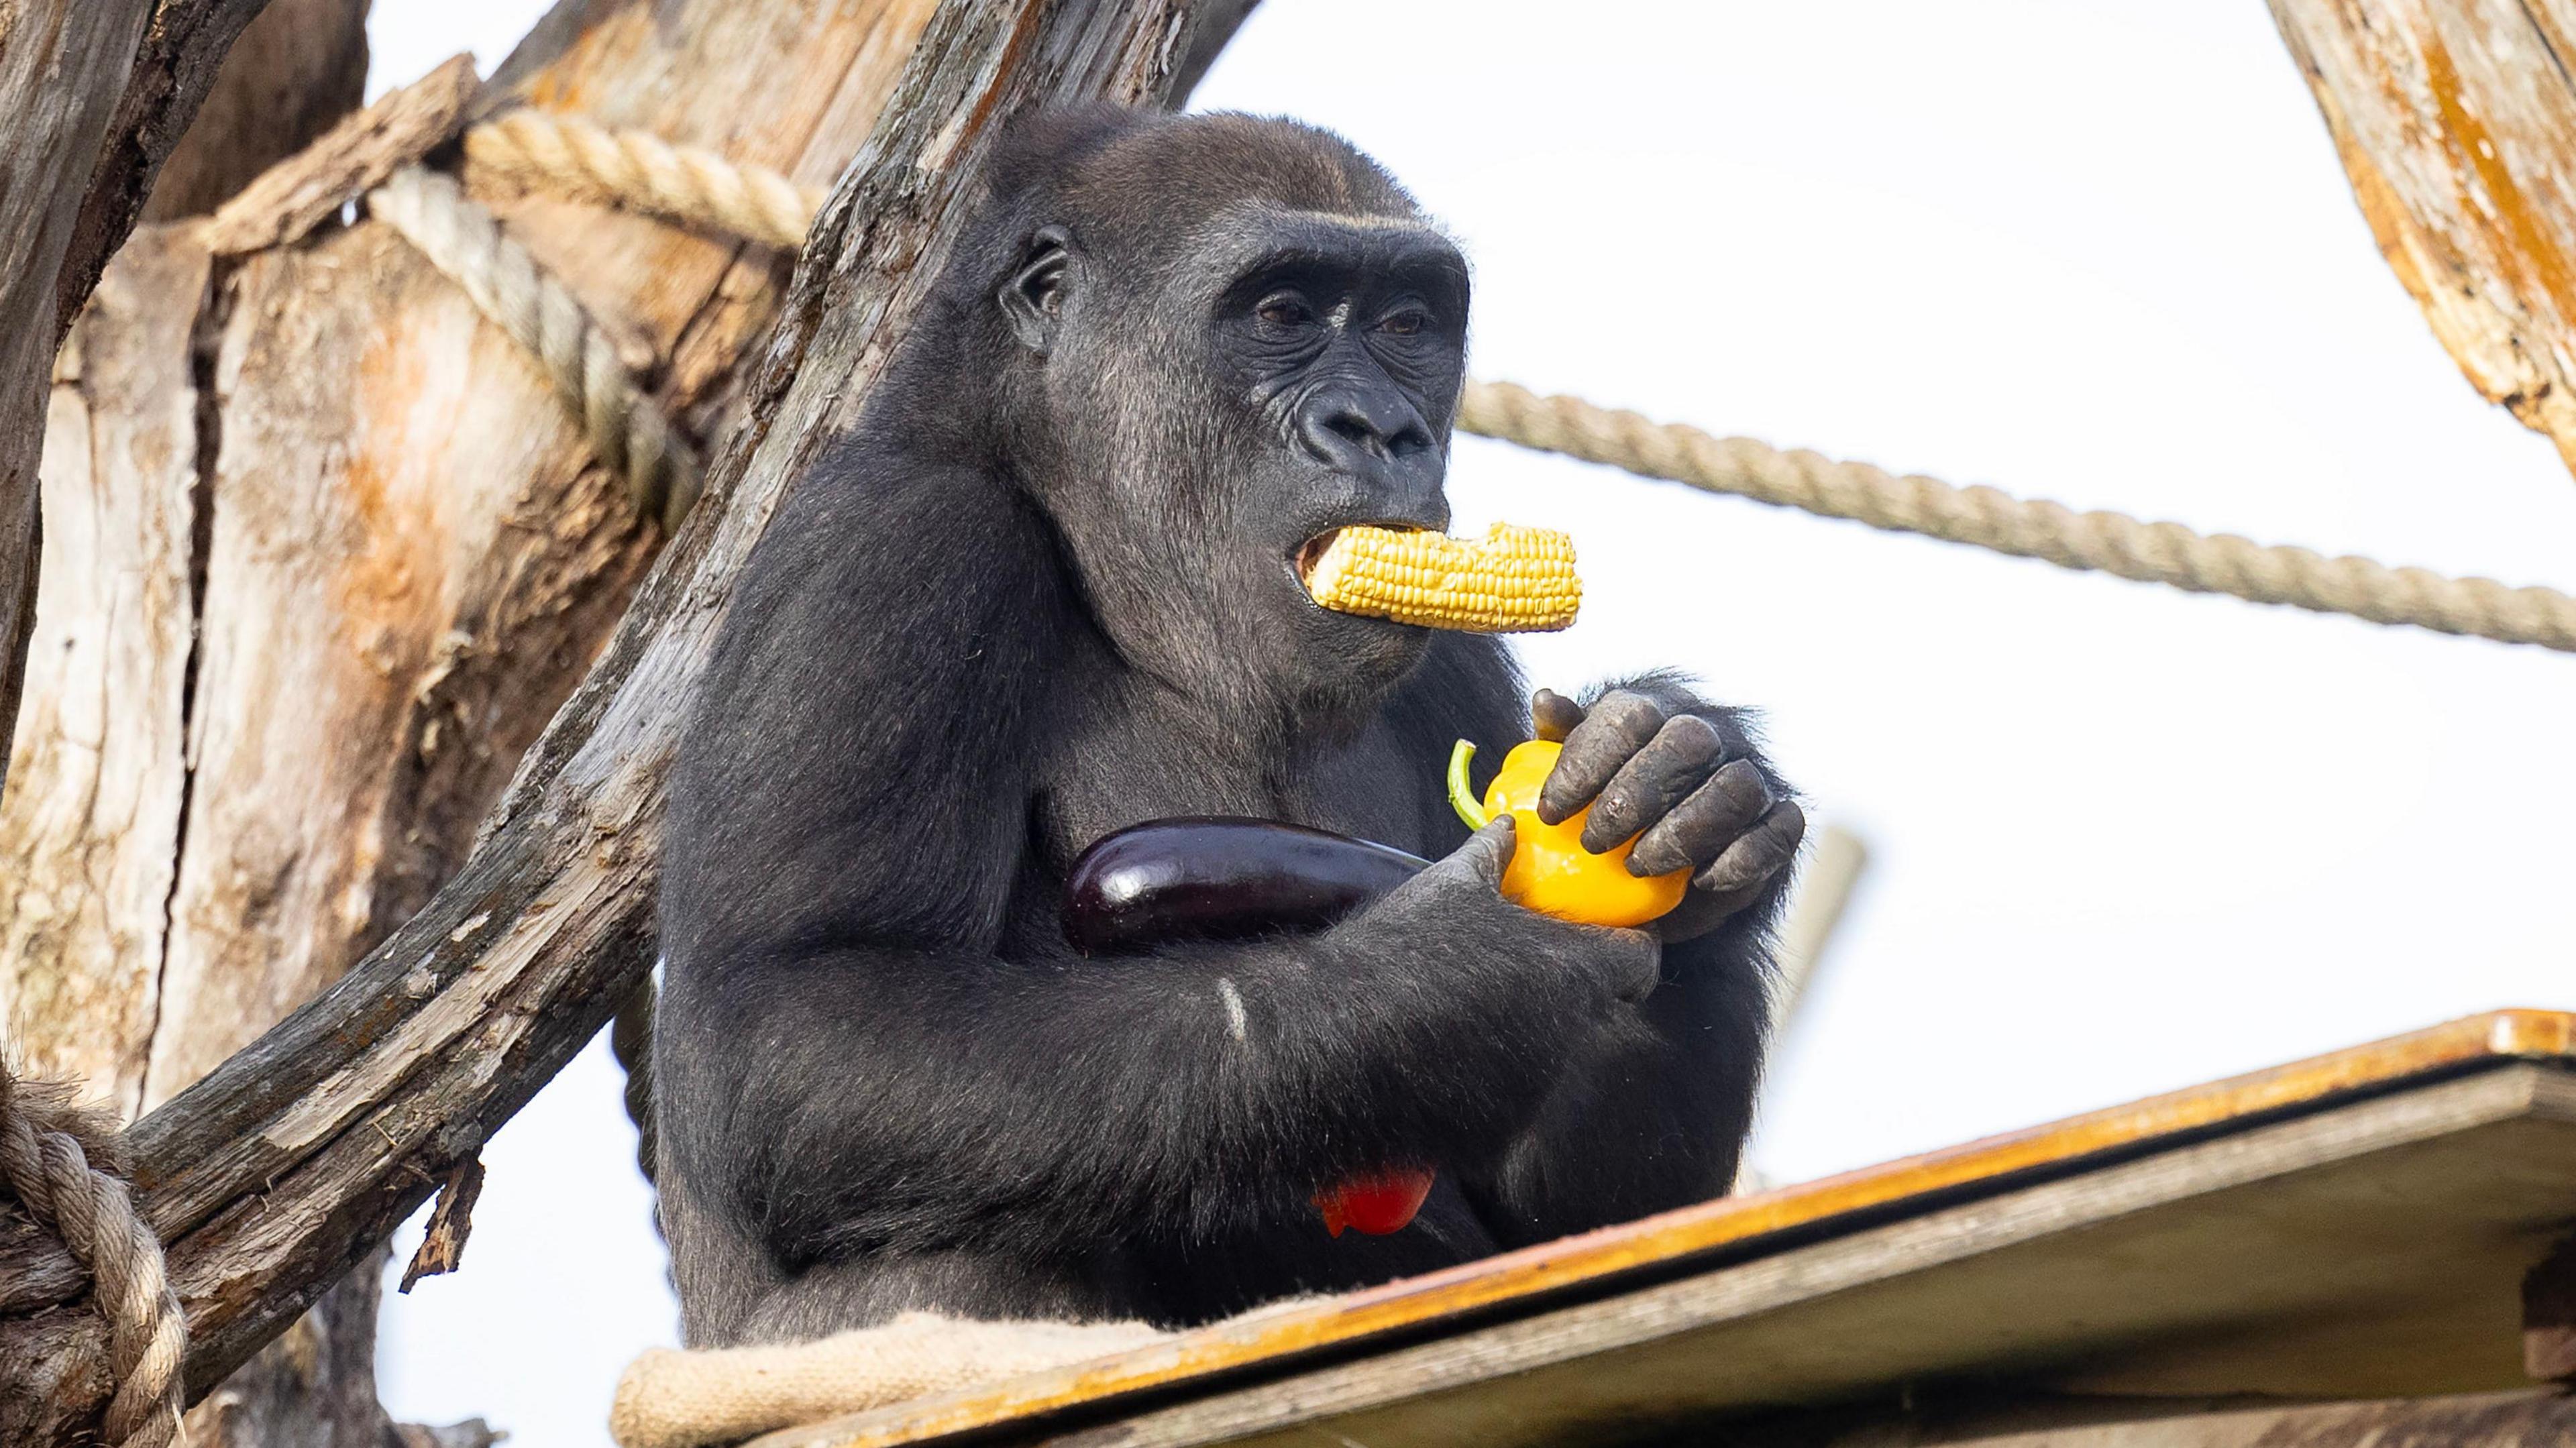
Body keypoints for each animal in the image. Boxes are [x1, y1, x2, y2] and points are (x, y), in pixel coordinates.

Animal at [654, 104, 1803, 1339]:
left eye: (1407, 325)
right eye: (1281, 314)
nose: (1381, 427)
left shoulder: (1458, 664)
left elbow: (1588, 1217)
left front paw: (1690, 790)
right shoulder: (890, 547)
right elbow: (804, 1019)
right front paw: (1435, 992)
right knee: (942, 1273)